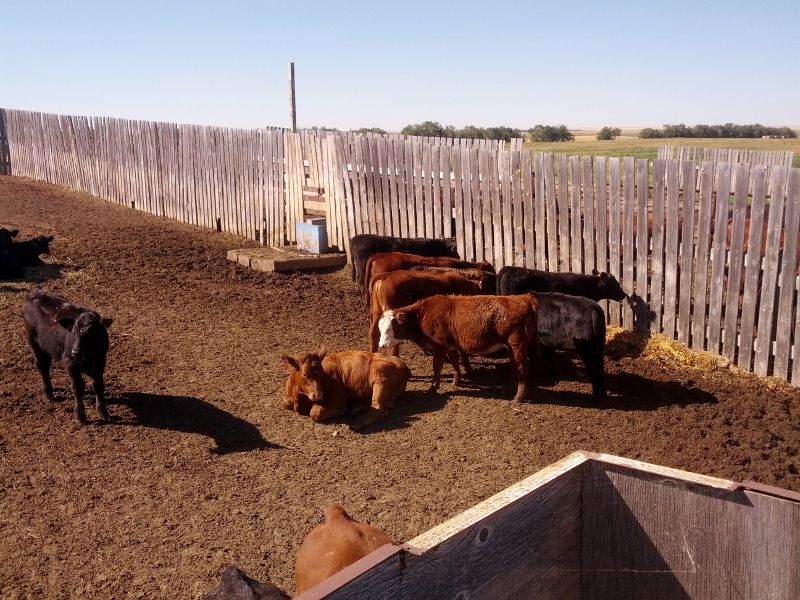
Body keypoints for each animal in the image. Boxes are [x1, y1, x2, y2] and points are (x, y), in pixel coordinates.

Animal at [22, 290, 113, 424]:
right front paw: (80, 414)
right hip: (33, 341)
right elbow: (77, 387)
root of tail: (35, 293)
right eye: (74, 331)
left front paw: (103, 412)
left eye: (92, 333)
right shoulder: (70, 363)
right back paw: (48, 393)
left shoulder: (100, 362)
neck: (88, 355)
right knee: (41, 366)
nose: (75, 351)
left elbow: (98, 385)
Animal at [280, 349, 411, 430]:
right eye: (305, 374)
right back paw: (358, 408)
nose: (318, 394)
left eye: (321, 372)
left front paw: (343, 410)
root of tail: (403, 366)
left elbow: (315, 413)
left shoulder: (339, 399)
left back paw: (357, 423)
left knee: (378, 408)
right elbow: (285, 402)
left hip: (380, 379)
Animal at [378, 294, 539, 402]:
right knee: (515, 366)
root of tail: (524, 298)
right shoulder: (452, 347)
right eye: (380, 327)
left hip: (516, 345)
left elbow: (437, 368)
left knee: (522, 366)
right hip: (512, 348)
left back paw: (518, 396)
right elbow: (455, 363)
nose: (381, 345)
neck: (422, 315)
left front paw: (433, 388)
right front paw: (456, 381)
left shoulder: (439, 348)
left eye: (391, 326)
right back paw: (510, 389)